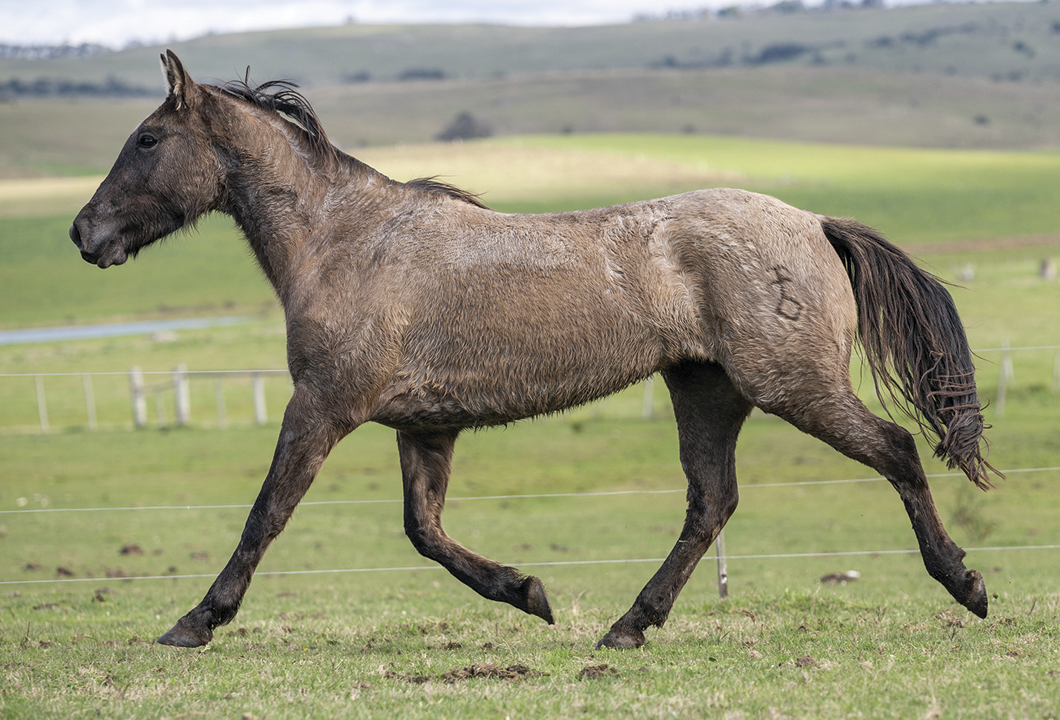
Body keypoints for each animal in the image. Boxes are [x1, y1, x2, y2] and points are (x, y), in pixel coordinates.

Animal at [70, 49, 996, 648]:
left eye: (148, 139)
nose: (84, 233)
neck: (347, 242)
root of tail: (814, 223)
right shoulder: (423, 426)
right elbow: (424, 531)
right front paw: (528, 594)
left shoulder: (323, 406)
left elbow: (267, 513)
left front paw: (194, 622)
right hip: (706, 389)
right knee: (711, 504)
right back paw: (627, 628)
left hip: (791, 385)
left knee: (896, 449)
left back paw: (967, 584)